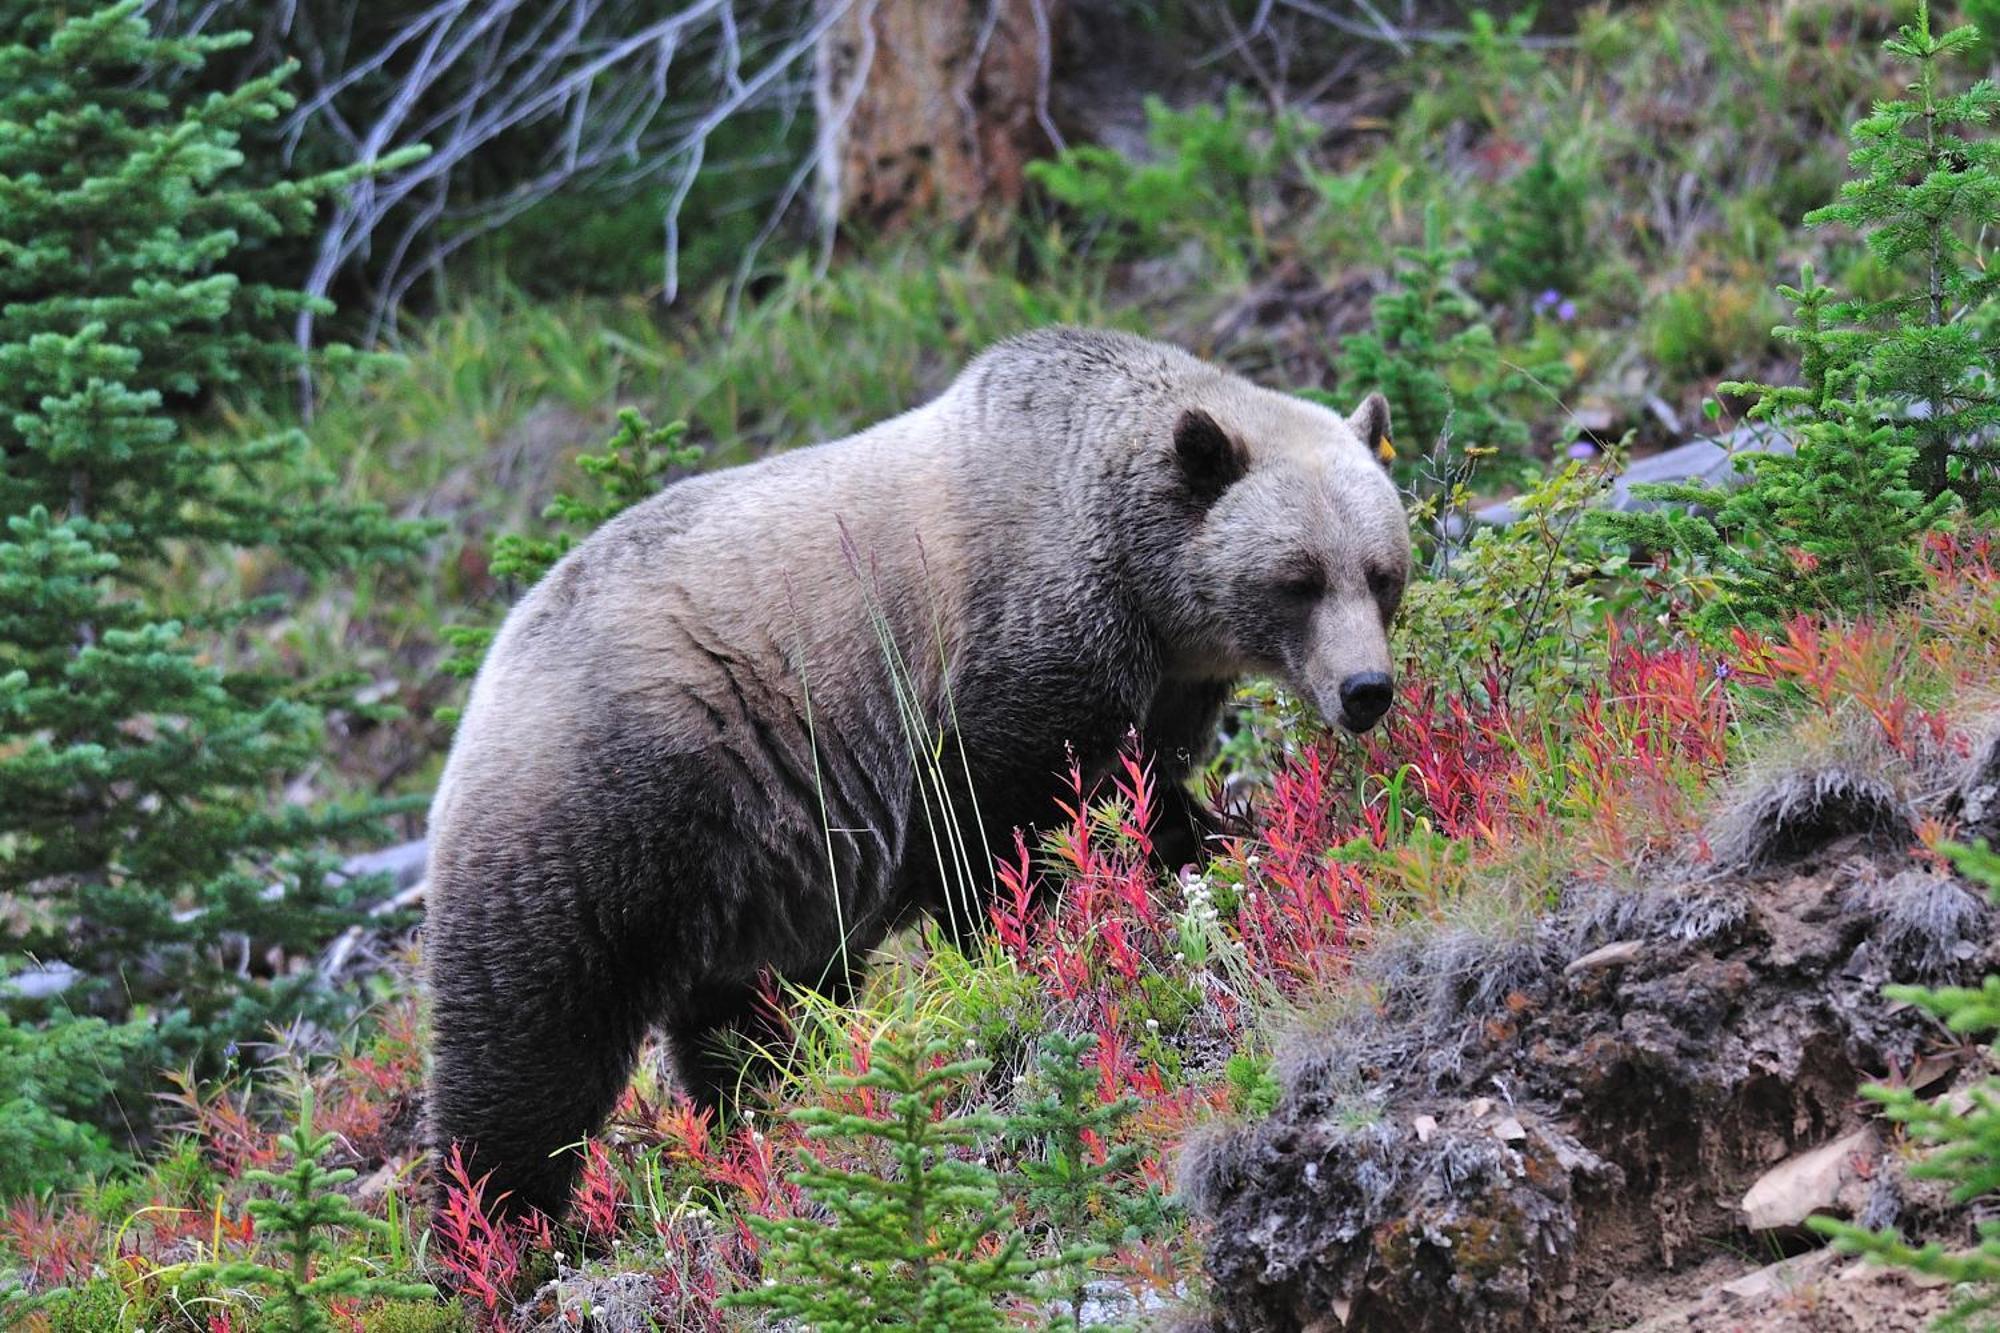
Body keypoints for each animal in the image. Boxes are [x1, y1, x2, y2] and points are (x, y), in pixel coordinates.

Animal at [422, 326, 1408, 1208]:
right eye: (1298, 578)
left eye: (1380, 571)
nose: (1365, 689)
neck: (1139, 579)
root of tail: (489, 671)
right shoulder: (1001, 653)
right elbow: (991, 833)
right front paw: (1030, 944)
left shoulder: (1157, 684)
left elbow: (1147, 798)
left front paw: (1225, 841)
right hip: (613, 810)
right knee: (531, 1045)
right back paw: (500, 1227)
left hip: (759, 874)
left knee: (748, 1019)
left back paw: (764, 1117)